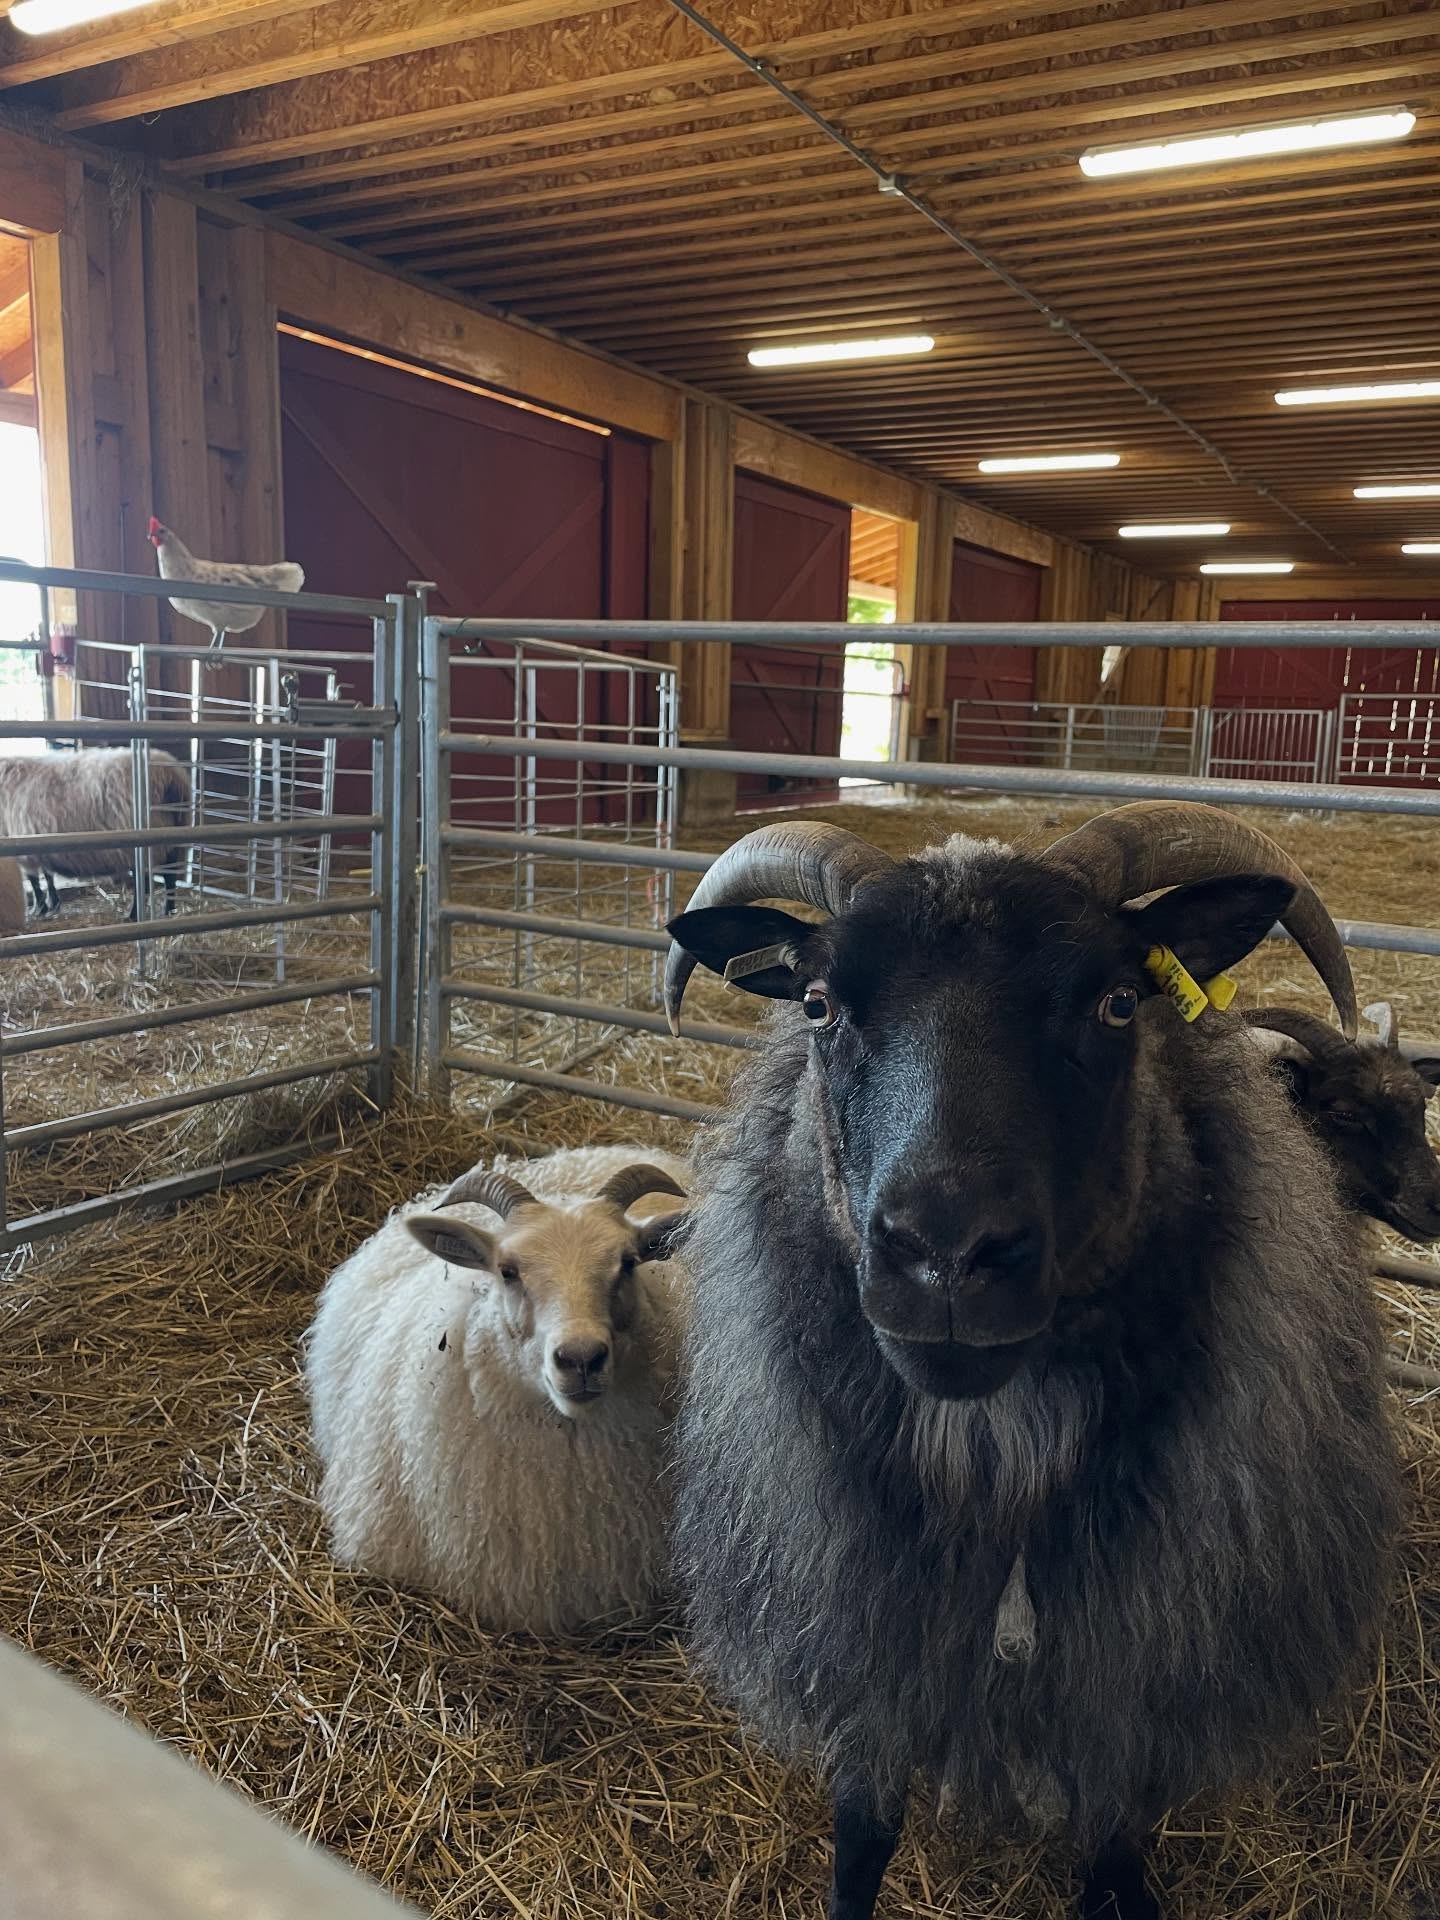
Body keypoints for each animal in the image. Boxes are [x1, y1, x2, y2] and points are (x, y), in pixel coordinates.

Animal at [0, 748, 191, 918]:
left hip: (140, 842)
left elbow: (34, 879)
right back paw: (169, 909)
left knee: (144, 881)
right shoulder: (39, 841)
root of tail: (171, 775)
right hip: (171, 836)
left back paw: (133, 914)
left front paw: (40, 908)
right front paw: (52, 903)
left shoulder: (23, 842)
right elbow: (47, 875)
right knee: (170, 876)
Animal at [663, 802, 1399, 1920]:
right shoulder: (871, 1642)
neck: (993, 1453)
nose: (947, 1252)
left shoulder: (1127, 1682)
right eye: (822, 1004)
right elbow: (863, 1831)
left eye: (1119, 1000)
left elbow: (1113, 1842)